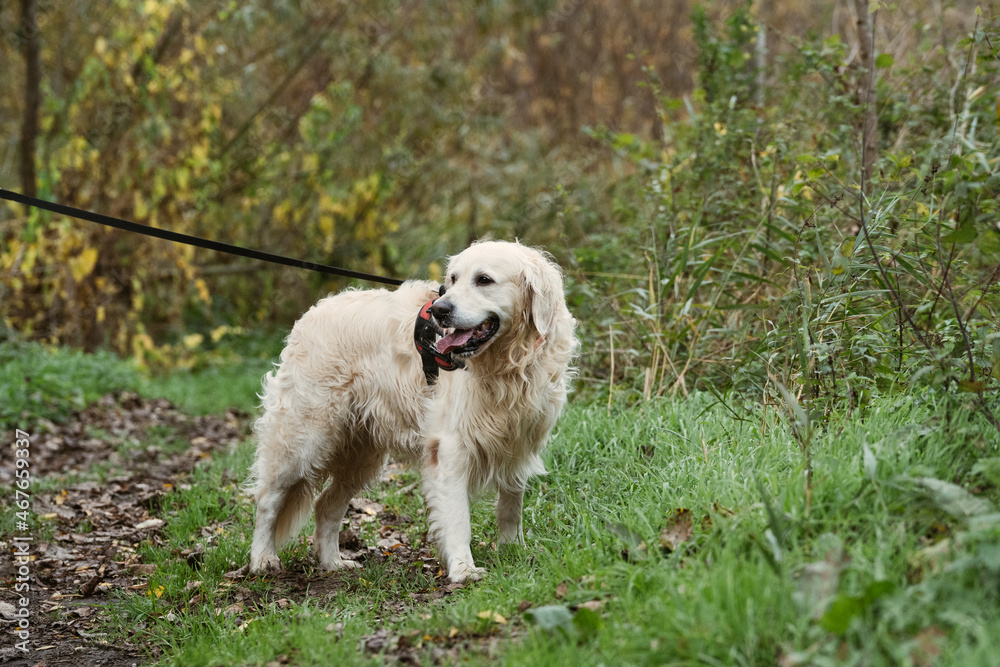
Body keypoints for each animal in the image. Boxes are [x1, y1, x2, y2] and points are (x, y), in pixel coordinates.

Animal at [247, 243, 580, 580]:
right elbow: (459, 518)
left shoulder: (519, 444)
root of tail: (311, 314)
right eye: (453, 279)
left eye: (484, 279)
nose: (439, 310)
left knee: (326, 505)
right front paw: (463, 569)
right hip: (304, 437)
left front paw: (512, 551)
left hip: (360, 455)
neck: (508, 365)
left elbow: (511, 506)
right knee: (268, 499)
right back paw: (262, 559)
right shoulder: (450, 448)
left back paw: (333, 563)